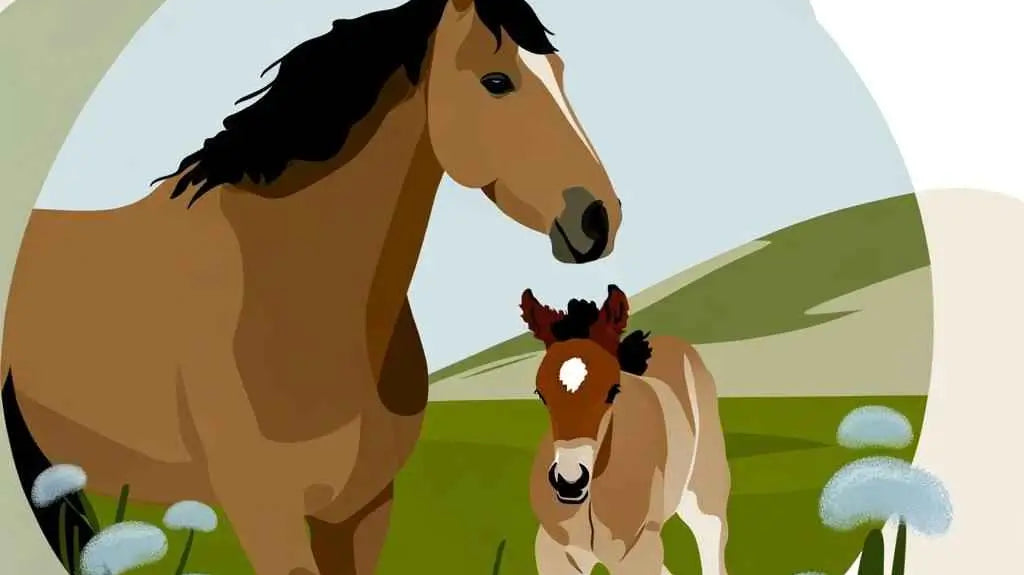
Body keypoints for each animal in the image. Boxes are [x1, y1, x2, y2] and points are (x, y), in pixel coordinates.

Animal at [519, 285, 730, 575]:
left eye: (613, 390)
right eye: (540, 393)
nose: (570, 482)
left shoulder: (637, 552)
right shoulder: (554, 551)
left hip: (704, 490)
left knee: (710, 537)